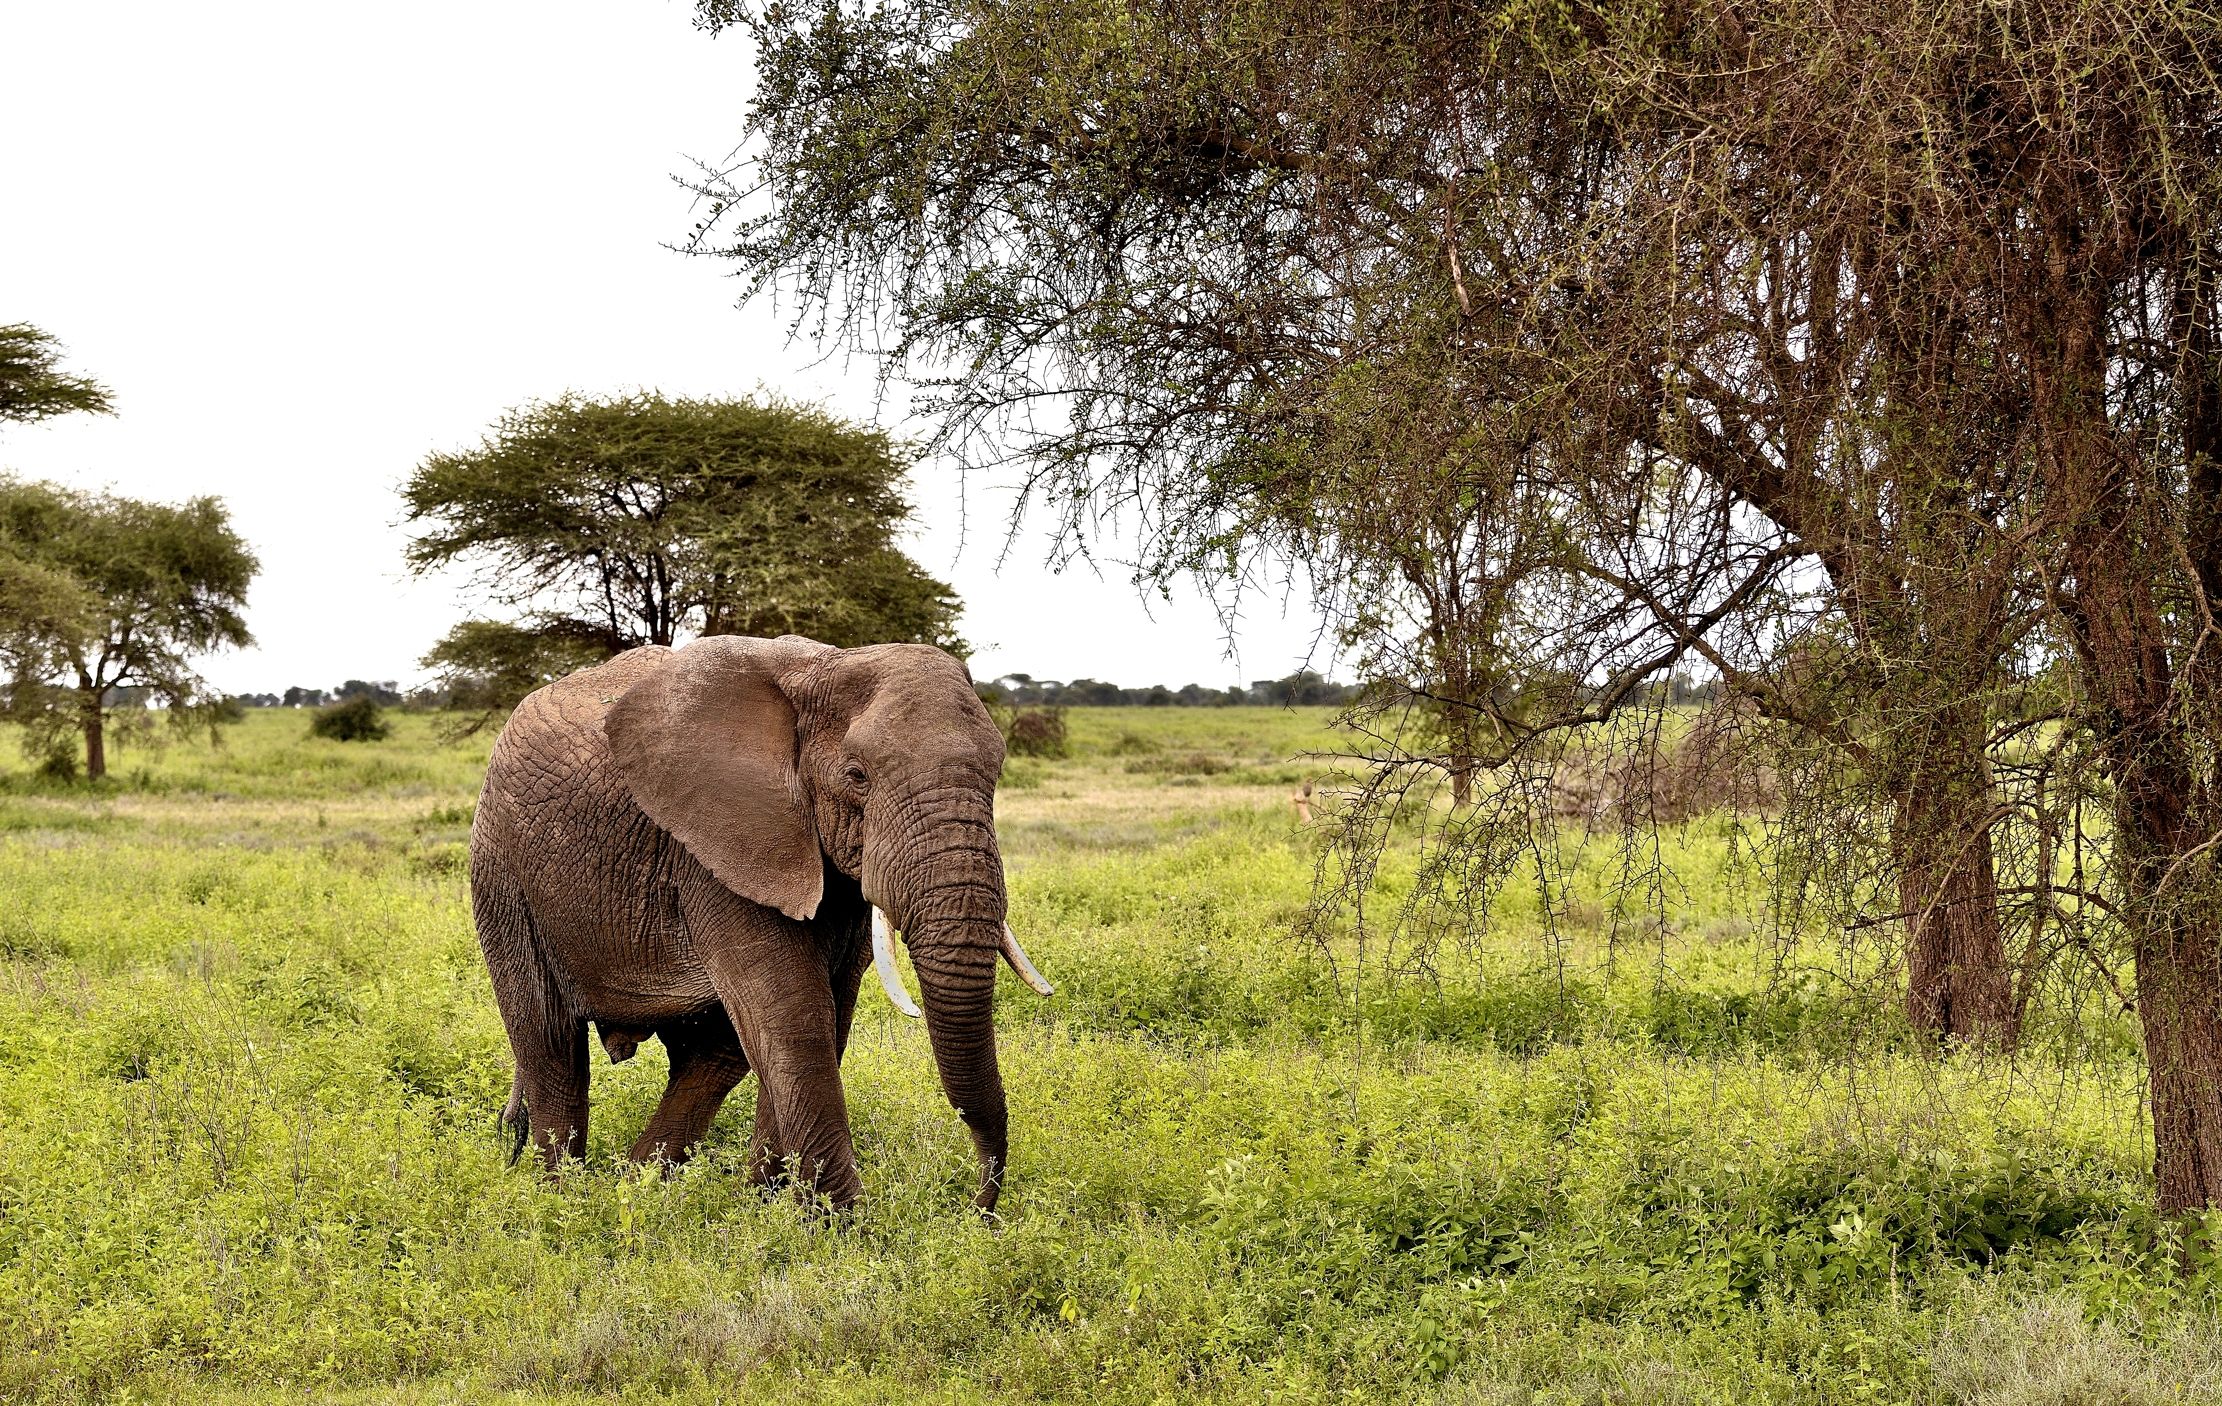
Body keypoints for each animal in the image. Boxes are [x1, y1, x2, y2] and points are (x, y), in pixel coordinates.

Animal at [467, 633, 1052, 1211]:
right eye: (857, 776)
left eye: (997, 773)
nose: (978, 1207)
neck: (826, 667)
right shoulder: (715, 843)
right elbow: (793, 1015)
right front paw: (842, 1223)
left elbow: (826, 1013)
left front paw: (770, 1208)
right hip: (502, 871)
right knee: (549, 1040)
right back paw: (563, 1201)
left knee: (716, 1052)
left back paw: (642, 1186)